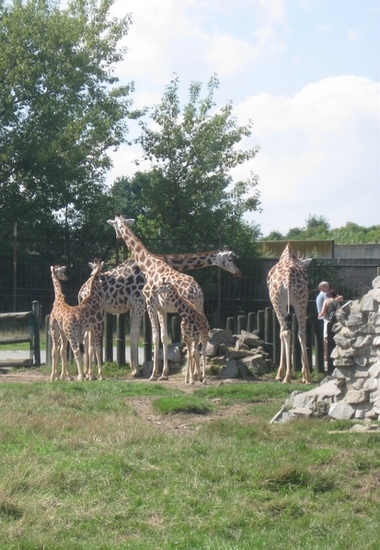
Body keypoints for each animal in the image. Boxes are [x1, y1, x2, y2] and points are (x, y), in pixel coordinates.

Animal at [105, 217, 206, 384]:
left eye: (115, 225)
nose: (118, 236)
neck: (148, 265)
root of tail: (198, 292)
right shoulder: (161, 308)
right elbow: (164, 337)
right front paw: (164, 373)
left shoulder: (150, 303)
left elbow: (155, 337)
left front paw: (153, 374)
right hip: (199, 310)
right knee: (200, 340)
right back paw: (198, 375)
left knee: (194, 342)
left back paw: (194, 376)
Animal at [268, 244, 312, 386]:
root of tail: (288, 279)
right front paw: (303, 375)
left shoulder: (277, 304)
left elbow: (281, 333)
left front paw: (279, 374)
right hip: (302, 301)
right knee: (302, 333)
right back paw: (308, 377)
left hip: (278, 302)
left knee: (286, 332)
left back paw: (287, 377)